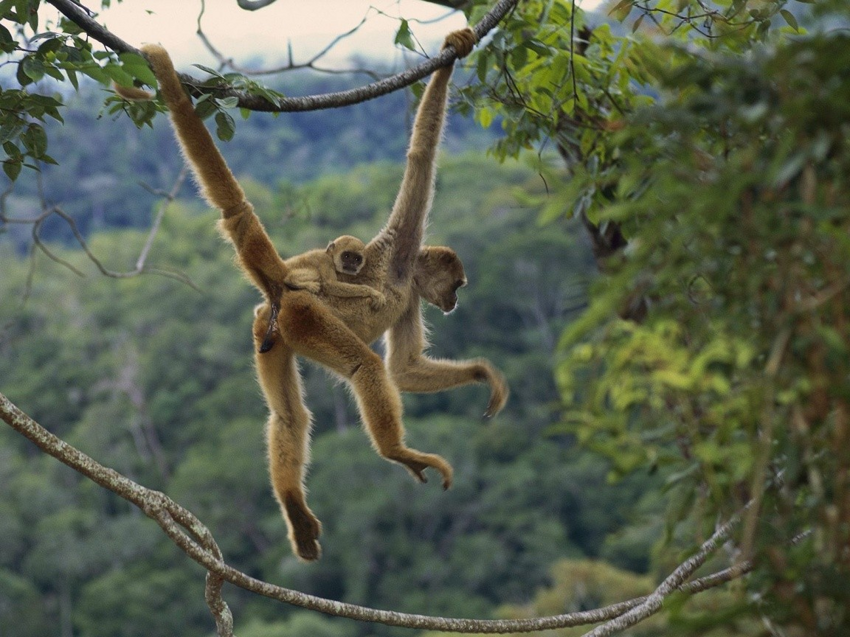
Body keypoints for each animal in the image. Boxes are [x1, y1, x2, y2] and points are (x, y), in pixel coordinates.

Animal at [139, 28, 504, 560]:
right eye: (457, 284)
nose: (456, 302)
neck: (405, 276)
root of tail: (281, 289)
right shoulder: (402, 245)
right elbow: (421, 156)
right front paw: (454, 49)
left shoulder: (411, 299)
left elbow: (405, 369)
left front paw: (481, 374)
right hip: (306, 317)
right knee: (364, 368)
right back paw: (397, 452)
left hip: (270, 332)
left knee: (289, 416)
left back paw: (294, 504)